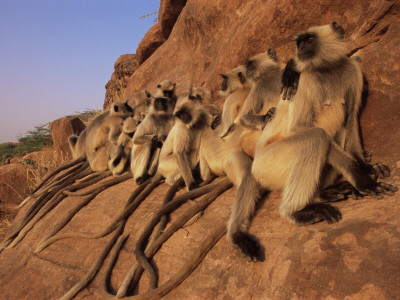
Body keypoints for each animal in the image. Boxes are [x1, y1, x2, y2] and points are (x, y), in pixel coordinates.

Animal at [228, 22, 396, 262]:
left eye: (307, 40)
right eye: (299, 42)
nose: (299, 51)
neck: (329, 69)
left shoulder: (351, 70)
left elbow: (351, 117)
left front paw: (366, 167)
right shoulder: (306, 78)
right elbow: (302, 127)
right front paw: (363, 180)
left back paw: (324, 192)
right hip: (269, 162)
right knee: (316, 137)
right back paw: (296, 212)